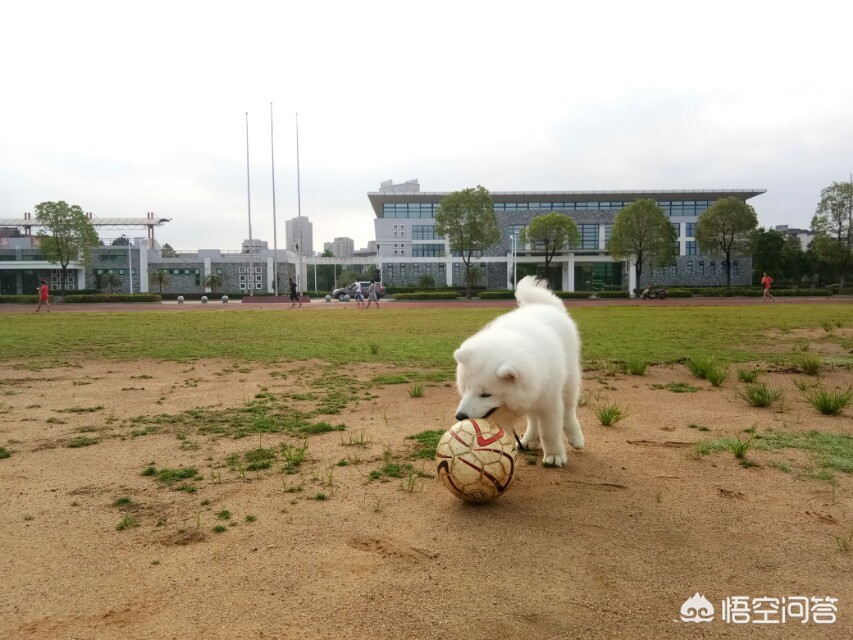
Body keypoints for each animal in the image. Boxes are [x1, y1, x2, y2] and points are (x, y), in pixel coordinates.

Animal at [452, 276, 584, 464]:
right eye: (468, 388)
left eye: (486, 394)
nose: (460, 416)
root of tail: (545, 305)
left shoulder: (550, 403)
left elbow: (550, 432)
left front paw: (554, 455)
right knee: (533, 419)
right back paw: (529, 440)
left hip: (569, 381)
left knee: (569, 410)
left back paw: (575, 438)